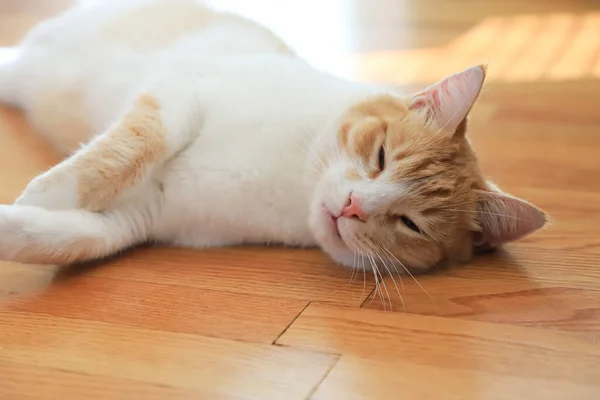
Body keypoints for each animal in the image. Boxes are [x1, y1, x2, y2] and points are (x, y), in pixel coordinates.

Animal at [0, 0, 548, 274]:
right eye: (380, 157)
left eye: (410, 224)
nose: (354, 206)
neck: (290, 179)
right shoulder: (183, 93)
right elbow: (129, 150)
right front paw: (50, 191)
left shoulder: (144, 215)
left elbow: (68, 239)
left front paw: (22, 217)